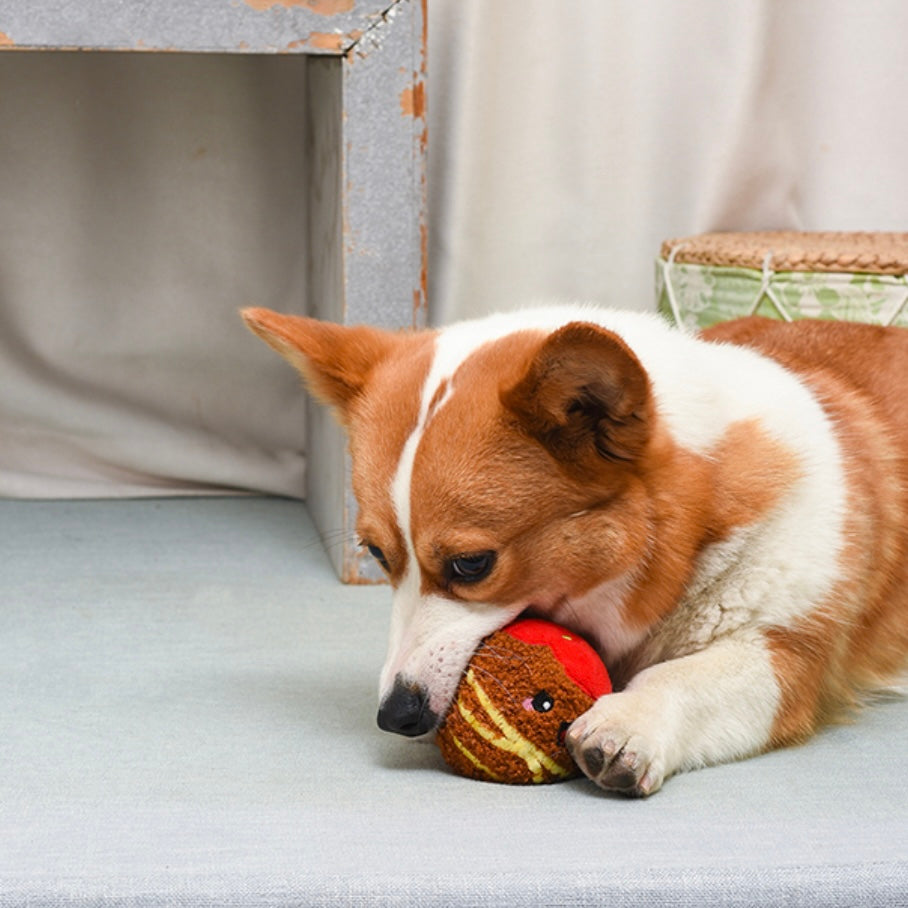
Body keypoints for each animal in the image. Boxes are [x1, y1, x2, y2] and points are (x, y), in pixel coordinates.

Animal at [243, 306, 908, 796]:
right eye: (378, 555)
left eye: (471, 565)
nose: (396, 716)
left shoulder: (789, 655)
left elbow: (684, 674)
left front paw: (628, 723)